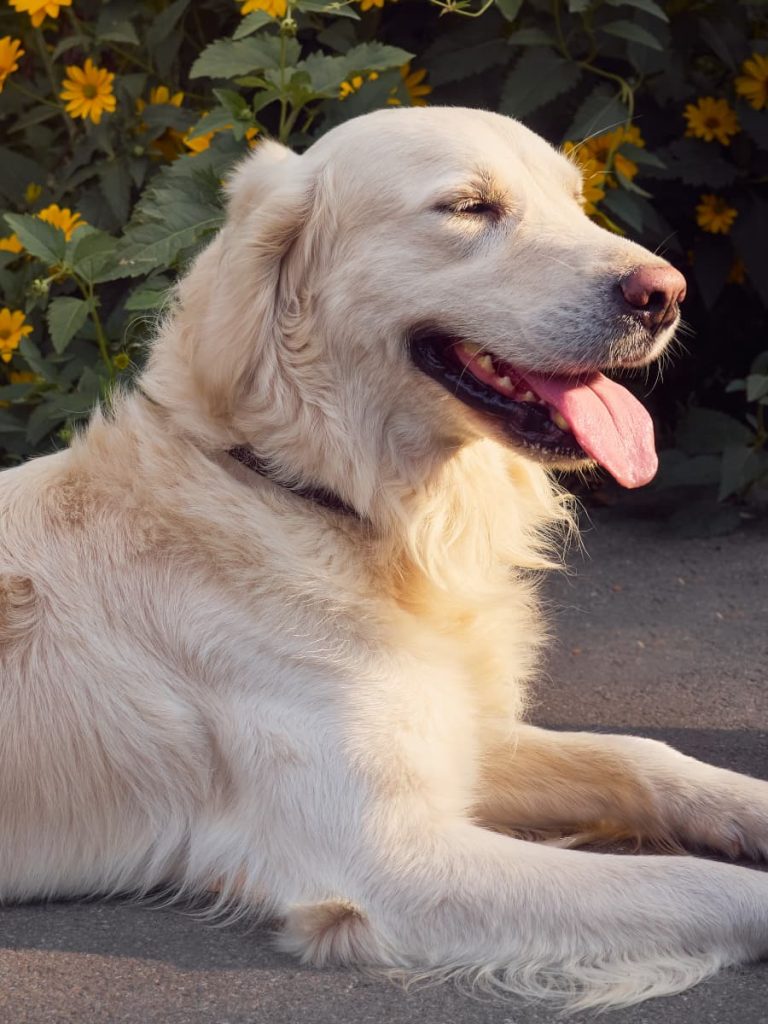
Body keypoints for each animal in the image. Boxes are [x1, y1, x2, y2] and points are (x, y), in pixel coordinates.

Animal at [1, 108, 768, 1011]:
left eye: (576, 202)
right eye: (469, 208)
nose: (665, 293)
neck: (330, 503)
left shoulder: (457, 738)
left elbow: (640, 756)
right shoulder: (395, 858)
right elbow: (694, 882)